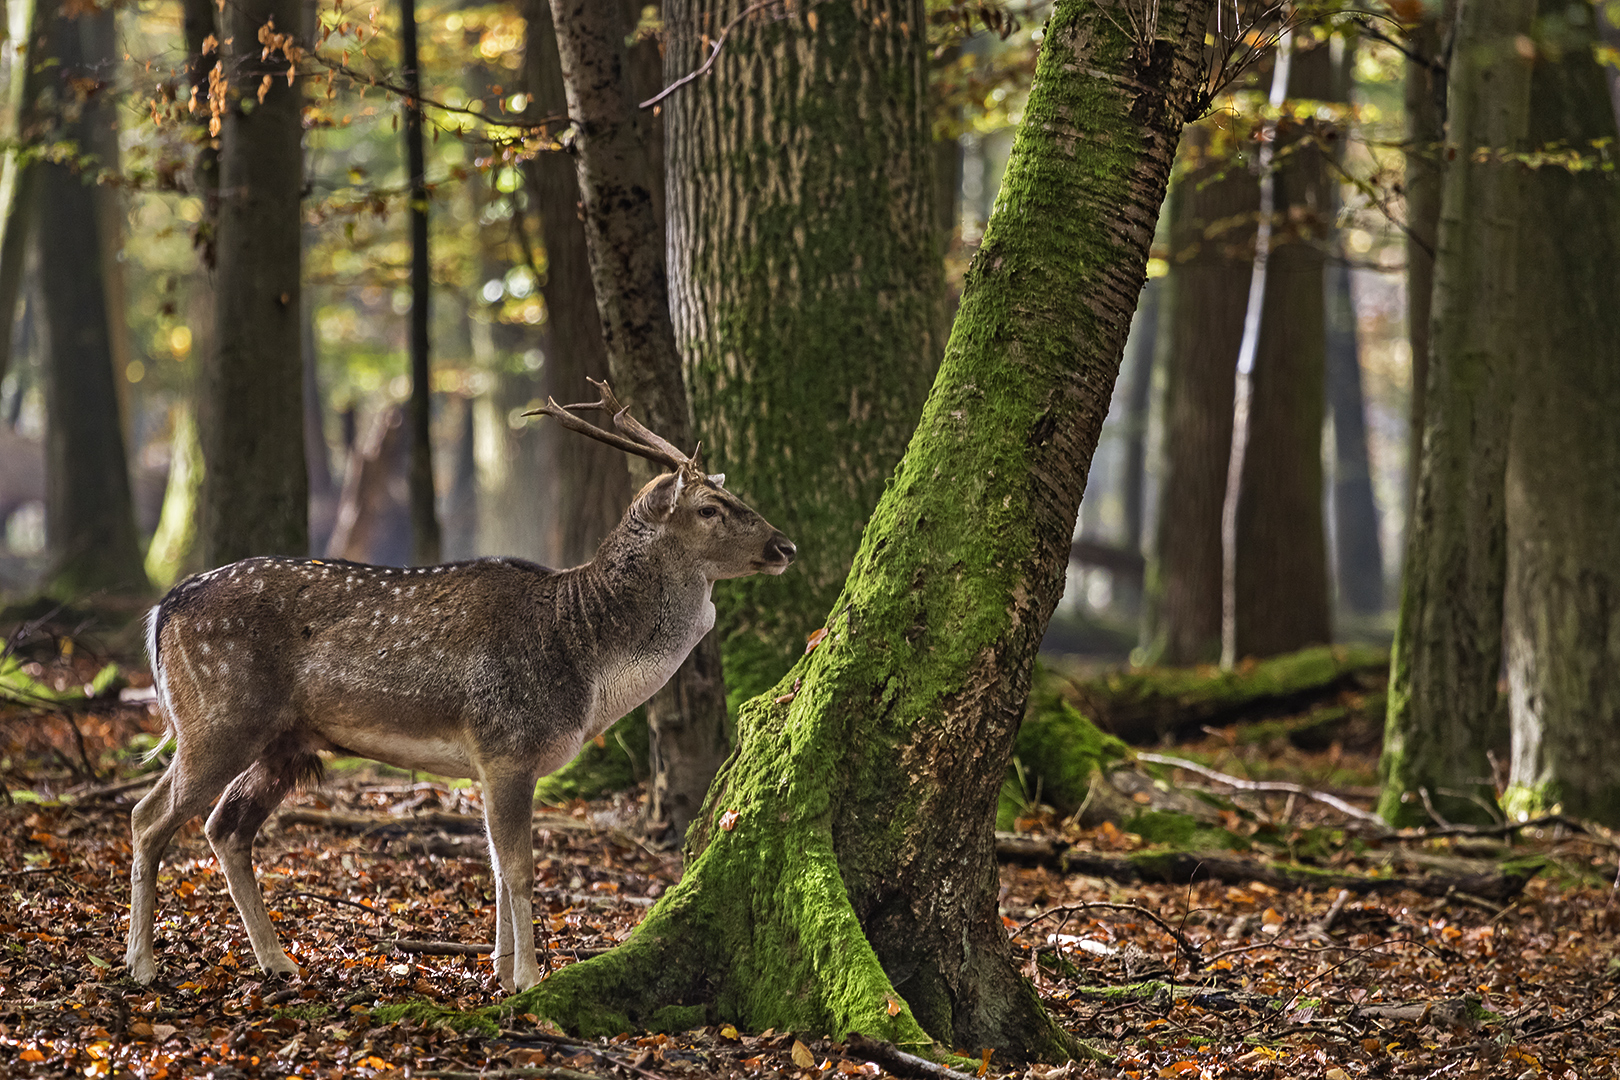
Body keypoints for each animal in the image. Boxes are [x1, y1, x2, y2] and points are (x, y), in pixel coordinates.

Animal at [123, 378, 793, 990]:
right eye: (709, 507)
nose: (784, 544)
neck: (586, 665)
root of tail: (160, 610)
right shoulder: (507, 746)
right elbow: (519, 869)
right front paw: (528, 979)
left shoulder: (494, 762)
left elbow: (494, 863)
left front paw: (499, 969)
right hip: (218, 719)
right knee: (147, 817)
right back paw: (143, 965)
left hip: (280, 742)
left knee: (224, 827)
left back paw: (277, 961)